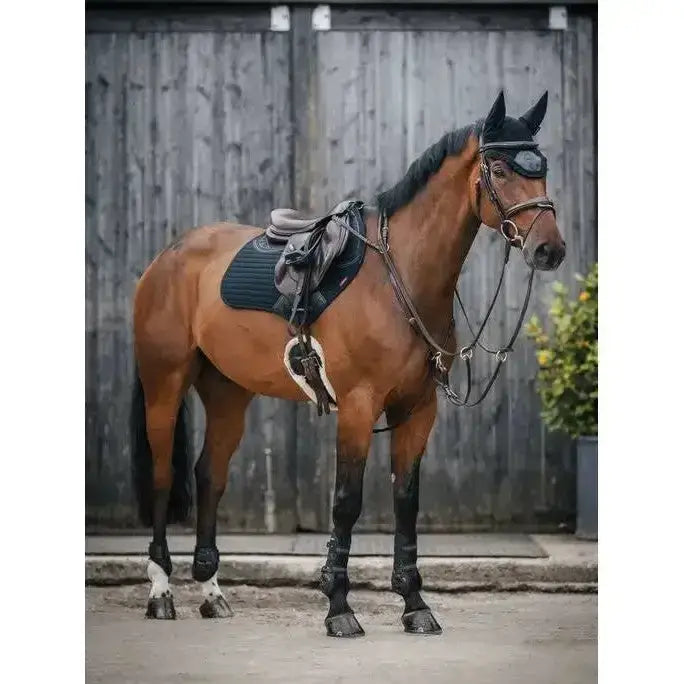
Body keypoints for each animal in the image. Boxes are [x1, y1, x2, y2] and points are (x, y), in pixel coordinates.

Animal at [130, 90, 566, 636]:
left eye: (541, 168)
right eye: (501, 169)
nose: (549, 249)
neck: (398, 278)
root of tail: (166, 258)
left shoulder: (417, 409)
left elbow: (406, 501)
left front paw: (415, 604)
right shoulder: (358, 407)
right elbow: (346, 503)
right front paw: (338, 607)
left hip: (228, 391)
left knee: (210, 474)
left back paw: (211, 592)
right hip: (164, 384)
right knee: (163, 476)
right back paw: (160, 591)